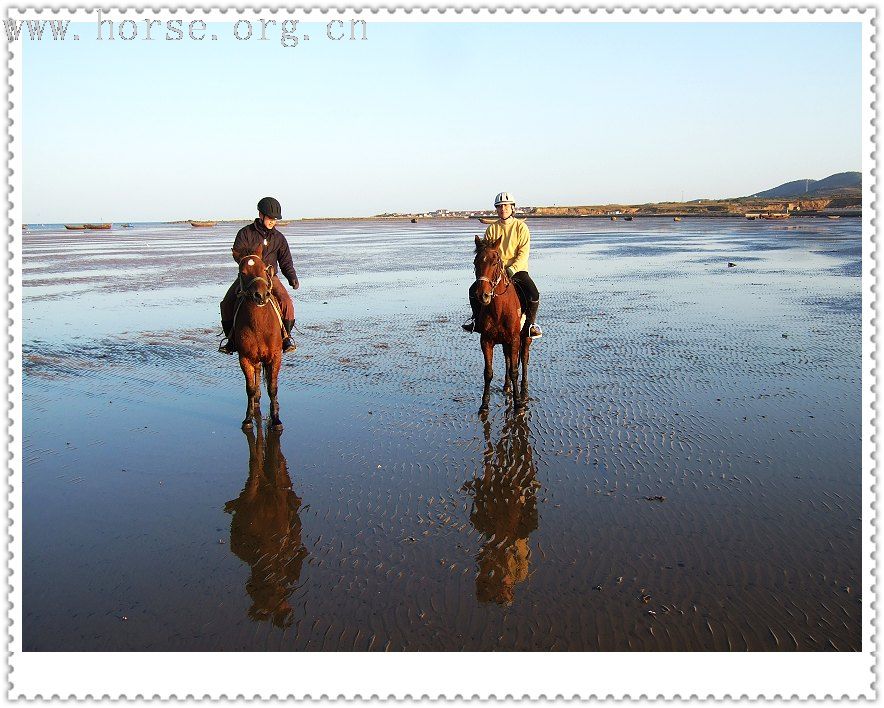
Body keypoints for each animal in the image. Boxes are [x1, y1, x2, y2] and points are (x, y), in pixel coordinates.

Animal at [231, 246, 284, 428]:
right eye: (243, 272)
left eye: (264, 269)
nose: (260, 295)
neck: (259, 326)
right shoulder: (245, 358)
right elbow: (250, 388)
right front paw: (248, 418)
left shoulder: (275, 356)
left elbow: (273, 388)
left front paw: (276, 419)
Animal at [474, 236, 536, 412]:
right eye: (475, 262)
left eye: (495, 262)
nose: (482, 295)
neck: (499, 309)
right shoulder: (486, 341)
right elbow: (488, 372)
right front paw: (484, 404)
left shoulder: (514, 339)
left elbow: (515, 370)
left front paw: (518, 403)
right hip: (504, 342)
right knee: (507, 358)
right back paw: (507, 386)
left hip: (525, 337)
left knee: (524, 358)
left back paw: (524, 388)